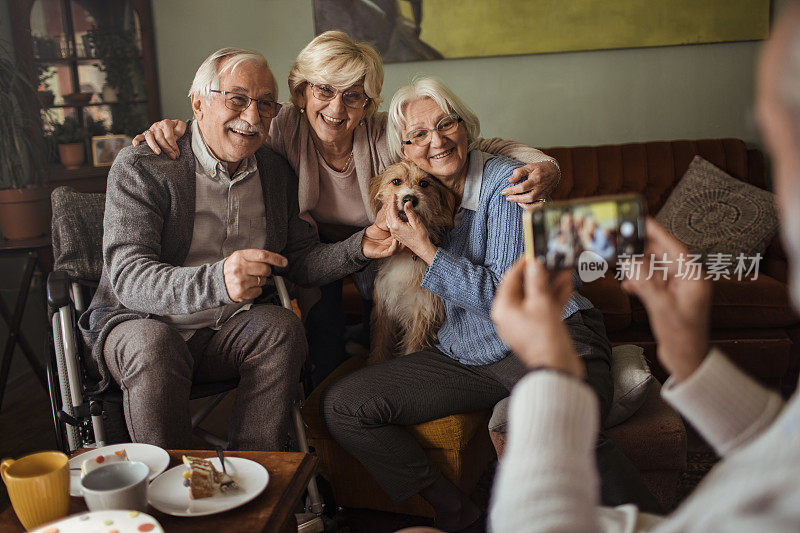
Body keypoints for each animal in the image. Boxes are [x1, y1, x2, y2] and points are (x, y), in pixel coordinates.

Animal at [368, 160, 456, 364]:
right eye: (396, 181)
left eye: (424, 183)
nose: (410, 199)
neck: (407, 253)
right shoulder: (384, 309)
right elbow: (379, 346)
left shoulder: (422, 317)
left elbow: (412, 348)